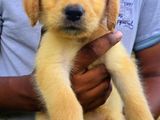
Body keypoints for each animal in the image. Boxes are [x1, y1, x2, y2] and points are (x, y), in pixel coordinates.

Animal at [23, 0, 154, 120]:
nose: (74, 12)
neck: (79, 40)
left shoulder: (118, 61)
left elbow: (135, 98)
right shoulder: (53, 66)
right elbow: (66, 103)